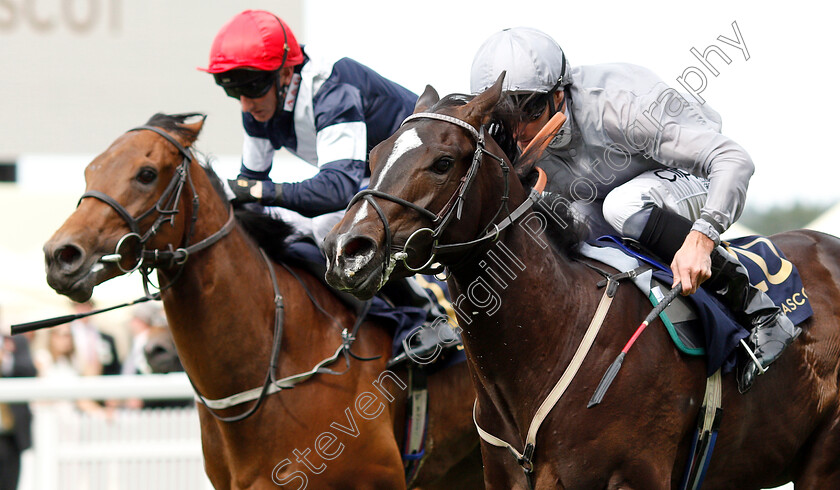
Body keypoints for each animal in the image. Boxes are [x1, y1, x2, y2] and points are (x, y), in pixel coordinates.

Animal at [324, 74, 840, 488]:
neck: (552, 337)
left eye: (443, 162)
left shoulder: (634, 477)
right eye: (373, 154)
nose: (347, 250)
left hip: (823, 461)